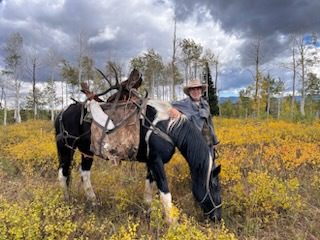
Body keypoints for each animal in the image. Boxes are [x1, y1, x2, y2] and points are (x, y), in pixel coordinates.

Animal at [53, 68, 221, 222]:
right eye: (215, 187)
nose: (217, 218)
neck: (165, 127)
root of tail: (62, 112)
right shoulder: (156, 161)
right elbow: (165, 193)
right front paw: (172, 224)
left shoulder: (151, 162)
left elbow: (149, 188)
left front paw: (148, 212)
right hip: (66, 148)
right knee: (63, 174)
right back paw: (67, 202)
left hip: (86, 151)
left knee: (84, 174)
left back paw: (94, 202)